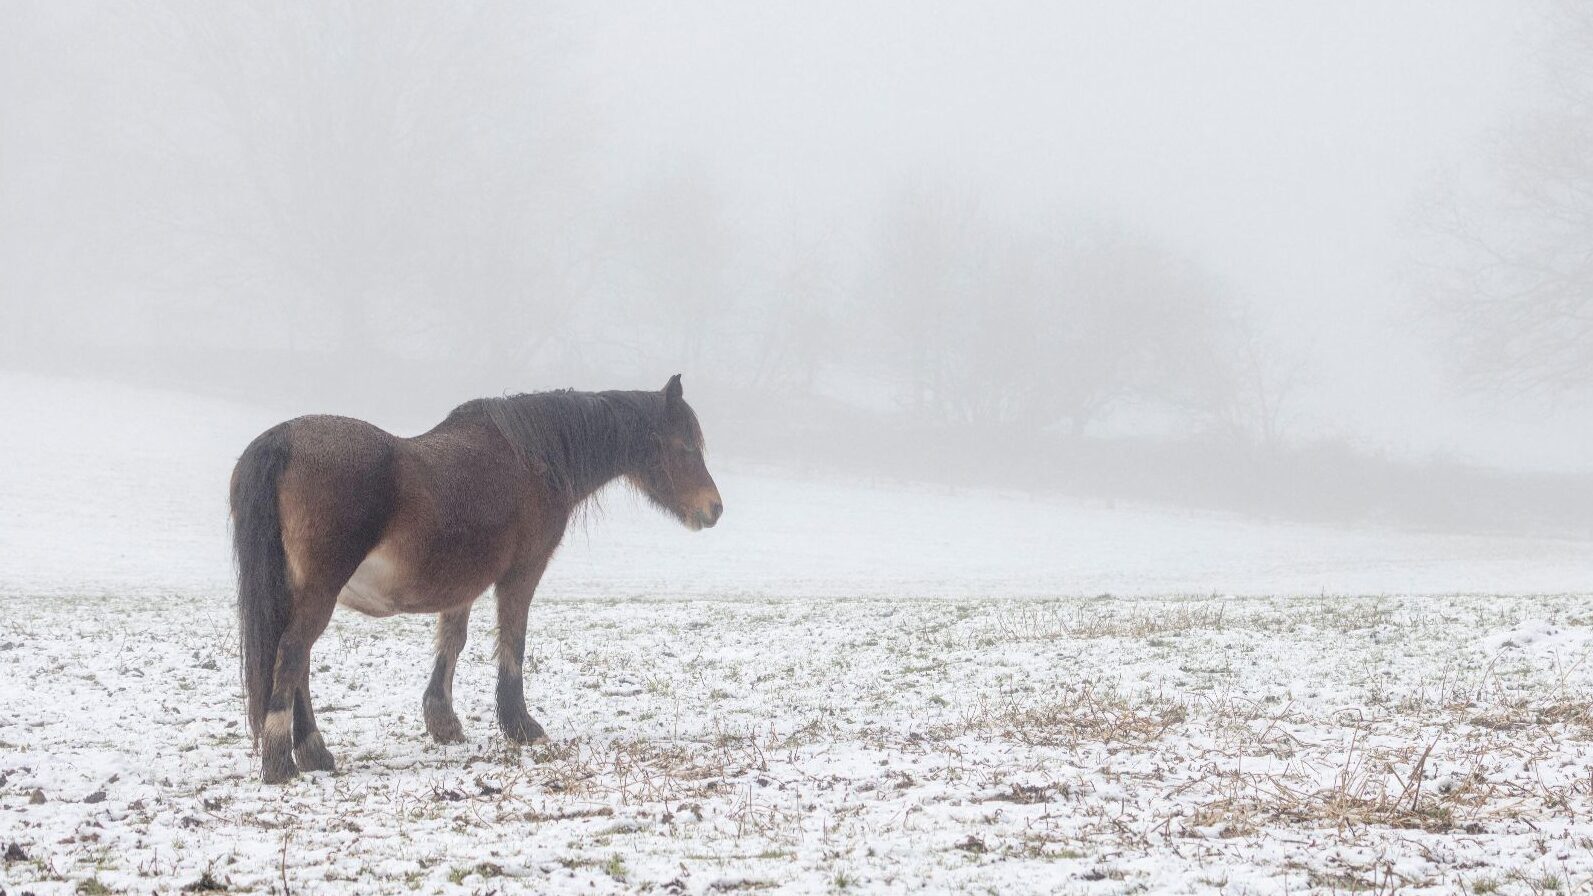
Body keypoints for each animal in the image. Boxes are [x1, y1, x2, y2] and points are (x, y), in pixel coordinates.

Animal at [229, 375, 721, 783]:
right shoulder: (521, 573)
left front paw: (442, 721)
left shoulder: (461, 582)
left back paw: (314, 754)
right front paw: (521, 725)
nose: (714, 509)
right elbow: (513, 641)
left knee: (298, 663)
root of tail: (282, 441)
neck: (530, 458)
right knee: (292, 655)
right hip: (320, 592)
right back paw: (281, 763)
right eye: (684, 446)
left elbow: (453, 640)